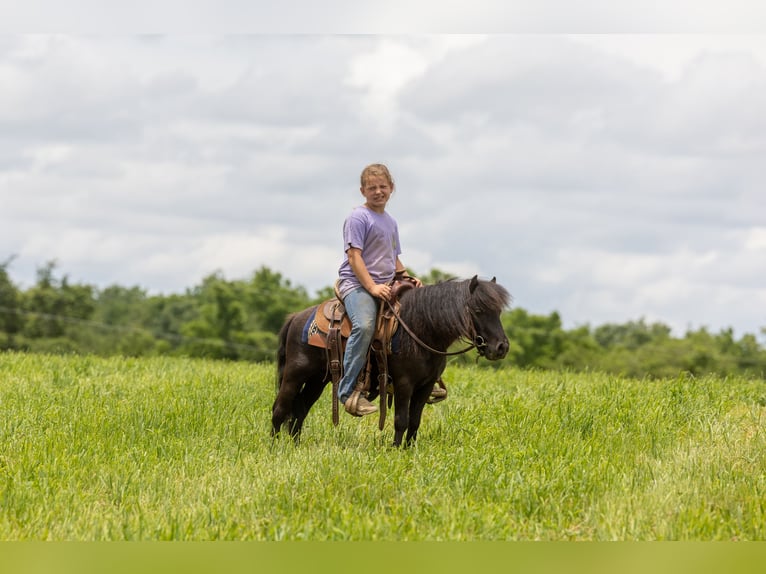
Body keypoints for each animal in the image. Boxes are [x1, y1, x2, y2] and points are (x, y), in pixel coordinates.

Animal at [271, 276, 511, 447]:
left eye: (499, 311)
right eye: (478, 309)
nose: (502, 347)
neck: (420, 329)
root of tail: (296, 318)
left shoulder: (425, 386)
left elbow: (415, 421)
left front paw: (409, 450)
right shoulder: (404, 383)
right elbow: (401, 419)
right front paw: (396, 450)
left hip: (316, 381)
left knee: (299, 410)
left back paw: (296, 446)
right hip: (294, 375)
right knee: (280, 408)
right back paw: (274, 447)